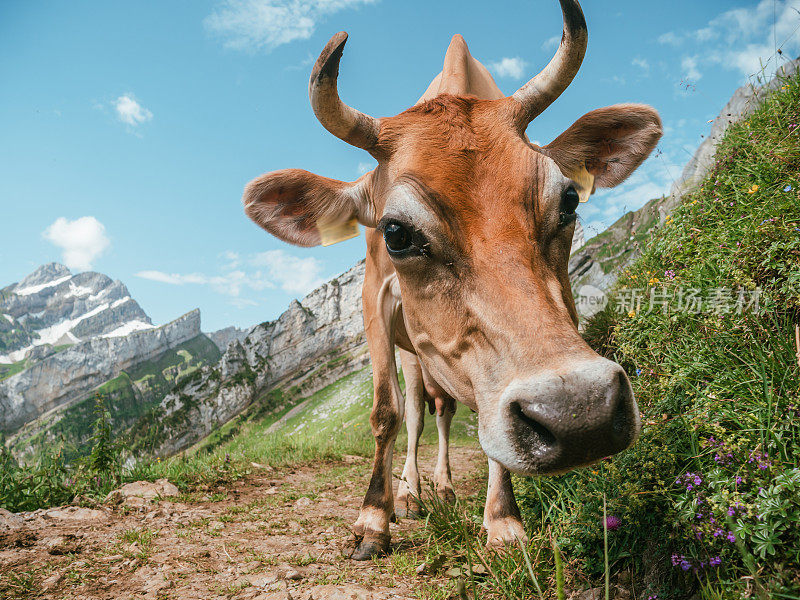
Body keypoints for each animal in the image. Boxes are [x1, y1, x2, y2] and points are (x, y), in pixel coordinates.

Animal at [245, 1, 664, 564]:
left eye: (570, 201)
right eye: (396, 233)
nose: (579, 413)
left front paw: (503, 521)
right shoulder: (373, 299)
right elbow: (386, 412)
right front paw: (374, 518)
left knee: (442, 412)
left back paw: (441, 490)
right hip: (410, 348)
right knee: (416, 413)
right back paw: (409, 495)